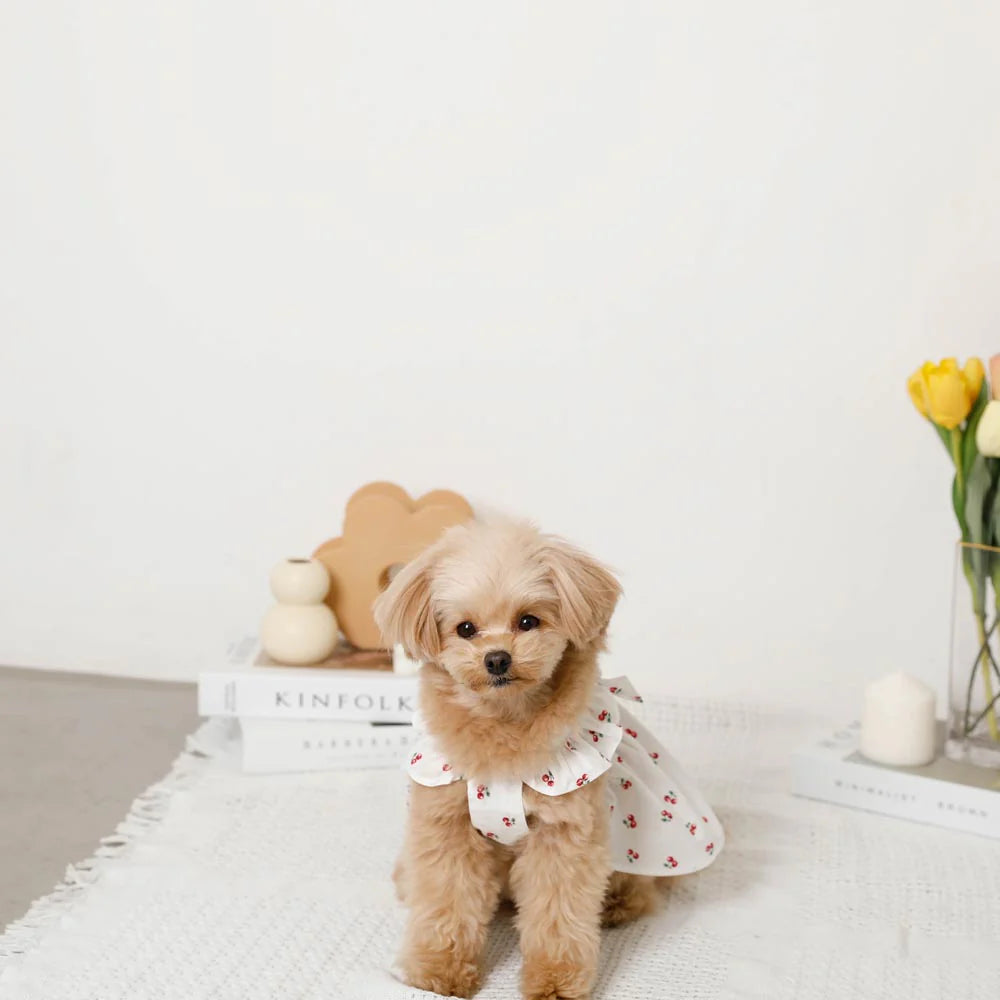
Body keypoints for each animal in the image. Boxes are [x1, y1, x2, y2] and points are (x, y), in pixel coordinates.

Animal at [374, 520, 721, 999]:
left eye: (527, 621)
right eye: (465, 628)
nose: (497, 658)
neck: (506, 727)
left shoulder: (562, 836)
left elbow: (557, 915)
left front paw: (555, 981)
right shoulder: (448, 825)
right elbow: (447, 901)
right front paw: (437, 970)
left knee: (640, 889)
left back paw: (617, 904)